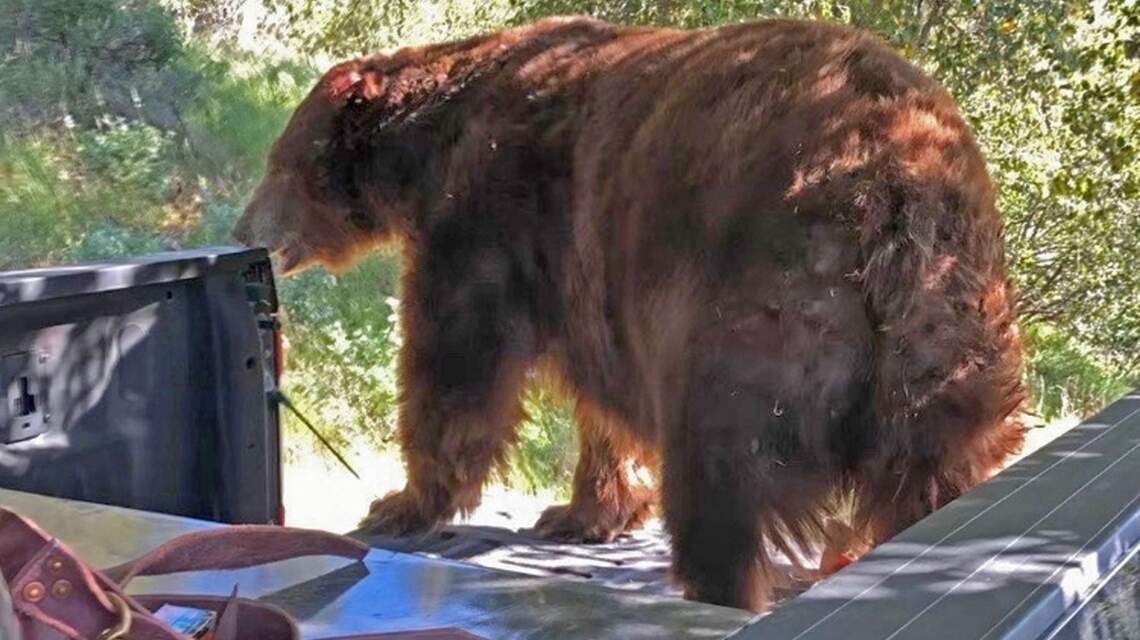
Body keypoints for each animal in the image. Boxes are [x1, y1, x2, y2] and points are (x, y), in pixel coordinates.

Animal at [232, 16, 1026, 612]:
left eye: (278, 164)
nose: (246, 230)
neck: (432, 144)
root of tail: (896, 192)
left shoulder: (490, 213)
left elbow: (456, 359)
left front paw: (403, 499)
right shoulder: (595, 275)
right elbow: (601, 402)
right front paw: (586, 510)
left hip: (772, 303)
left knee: (721, 470)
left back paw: (716, 585)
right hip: (948, 345)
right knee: (937, 477)